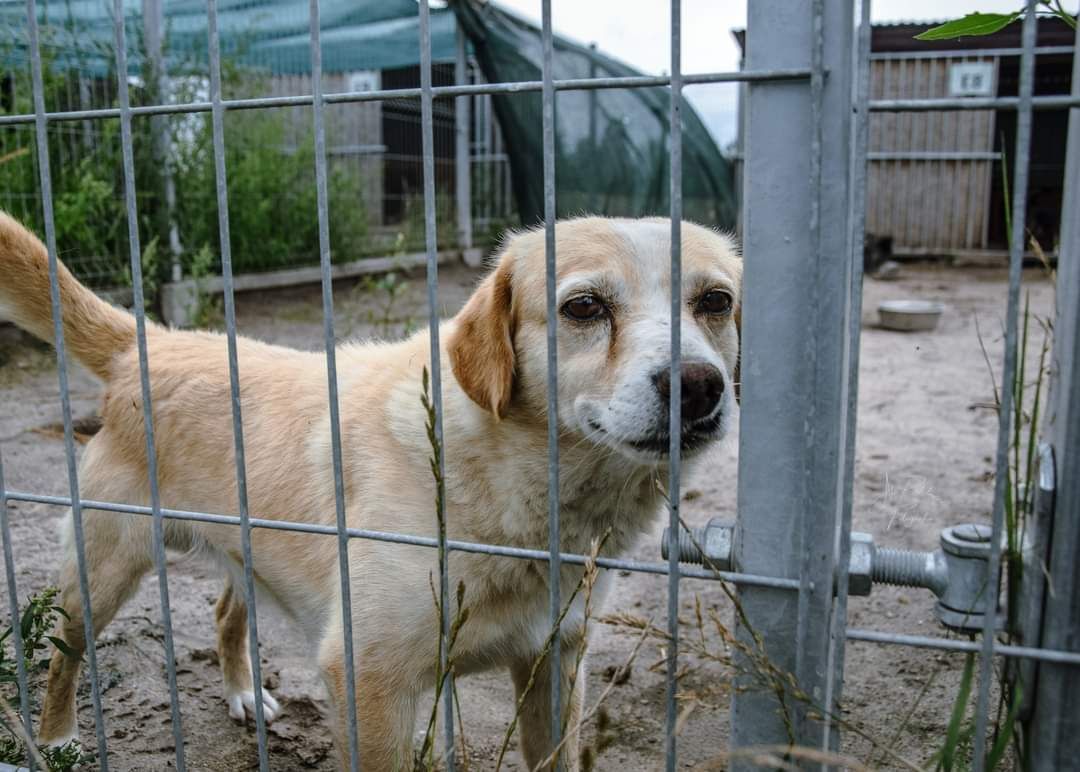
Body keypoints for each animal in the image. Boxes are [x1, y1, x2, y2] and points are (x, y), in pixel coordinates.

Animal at [0, 208, 743, 768]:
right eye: (584, 307)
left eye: (717, 302)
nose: (699, 386)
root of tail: (147, 343)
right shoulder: (369, 679)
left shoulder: (556, 660)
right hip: (101, 568)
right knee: (63, 655)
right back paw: (58, 740)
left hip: (245, 551)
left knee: (225, 612)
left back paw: (243, 694)